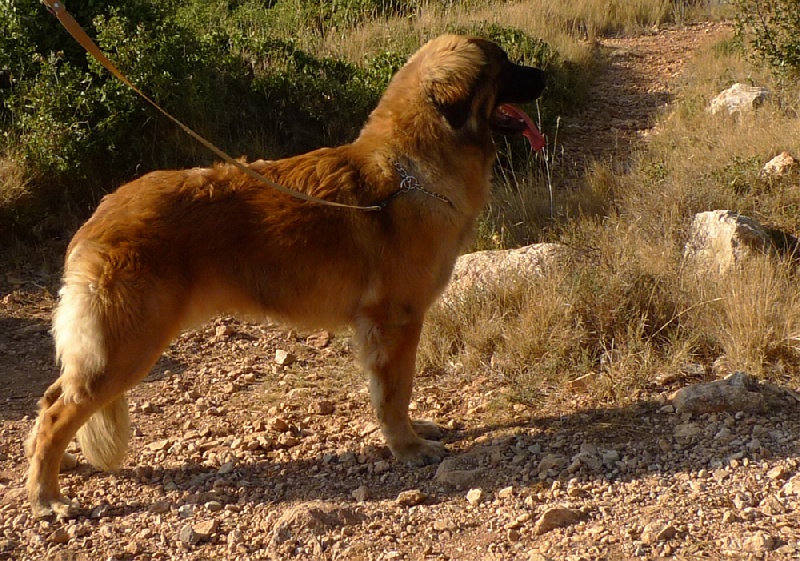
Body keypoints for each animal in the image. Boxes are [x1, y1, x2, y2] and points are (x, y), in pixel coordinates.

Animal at [26, 35, 552, 516]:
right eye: (505, 65)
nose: (545, 75)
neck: (413, 170)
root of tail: (100, 215)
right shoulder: (396, 323)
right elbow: (396, 392)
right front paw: (407, 447)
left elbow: (395, 393)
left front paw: (412, 433)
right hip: (129, 349)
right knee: (57, 411)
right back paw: (47, 496)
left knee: (52, 396)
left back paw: (53, 466)